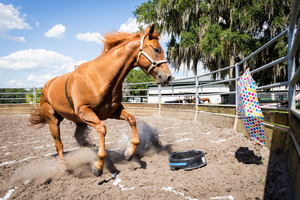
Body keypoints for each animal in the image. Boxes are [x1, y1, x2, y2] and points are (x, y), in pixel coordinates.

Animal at [29, 24, 173, 176]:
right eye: (157, 49)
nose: (168, 77)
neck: (100, 77)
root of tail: (46, 87)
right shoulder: (85, 111)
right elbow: (102, 129)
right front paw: (98, 166)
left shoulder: (113, 111)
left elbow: (132, 120)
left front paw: (129, 153)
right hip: (54, 120)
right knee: (59, 144)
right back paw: (65, 168)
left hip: (79, 122)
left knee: (78, 138)